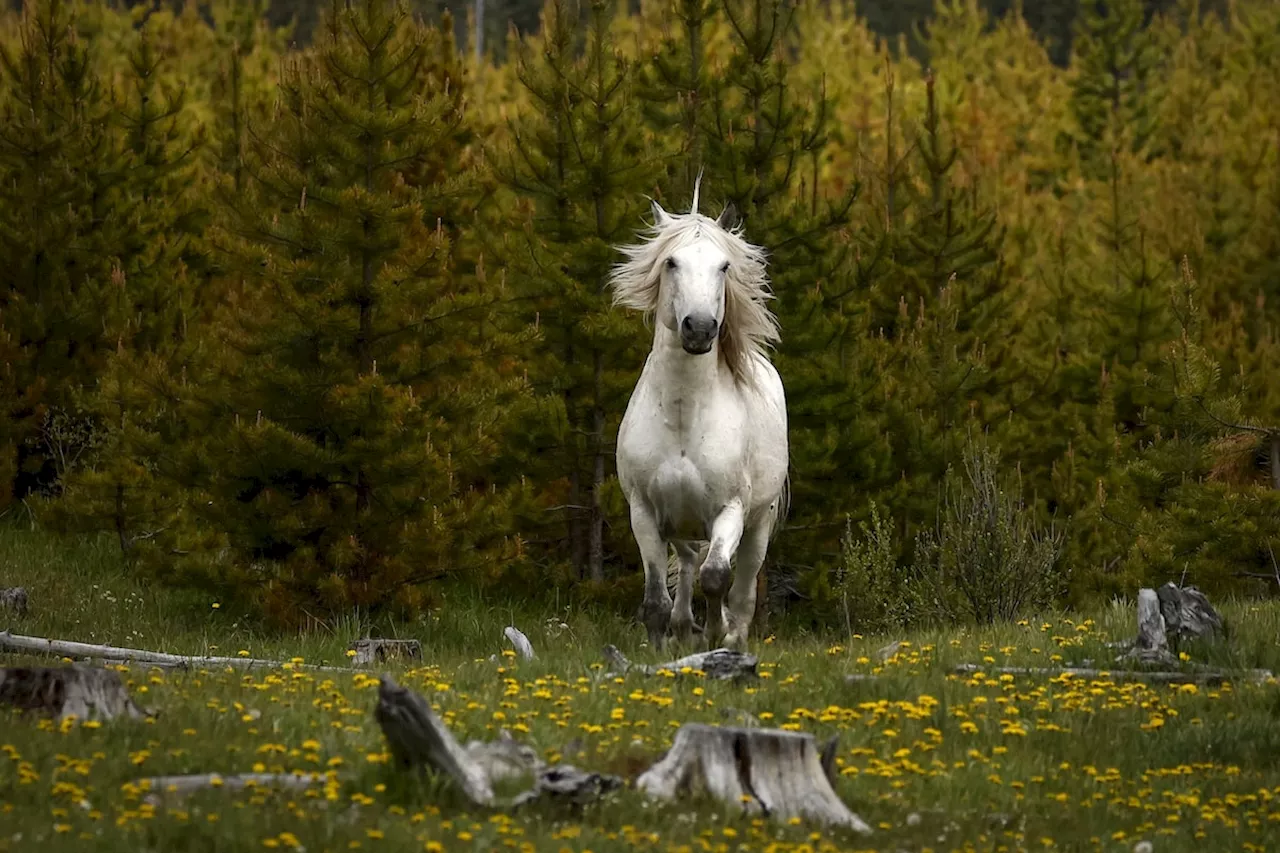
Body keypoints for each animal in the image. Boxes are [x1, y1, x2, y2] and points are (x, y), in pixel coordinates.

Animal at [606, 185, 783, 648]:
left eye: (724, 266)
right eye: (671, 262)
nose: (700, 329)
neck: (684, 419)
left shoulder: (730, 511)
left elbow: (716, 577)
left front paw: (718, 632)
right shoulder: (644, 512)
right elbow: (655, 600)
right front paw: (661, 648)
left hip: (759, 525)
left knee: (741, 589)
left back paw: (732, 637)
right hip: (682, 523)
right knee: (686, 565)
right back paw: (685, 627)